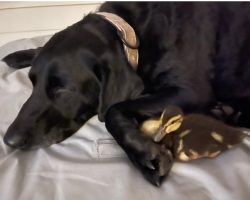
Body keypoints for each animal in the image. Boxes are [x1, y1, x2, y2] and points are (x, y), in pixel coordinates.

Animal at [1, 2, 250, 186]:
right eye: (32, 82)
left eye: (61, 87)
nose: (8, 140)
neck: (130, 34)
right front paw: (21, 54)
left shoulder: (189, 91)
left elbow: (112, 110)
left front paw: (144, 154)